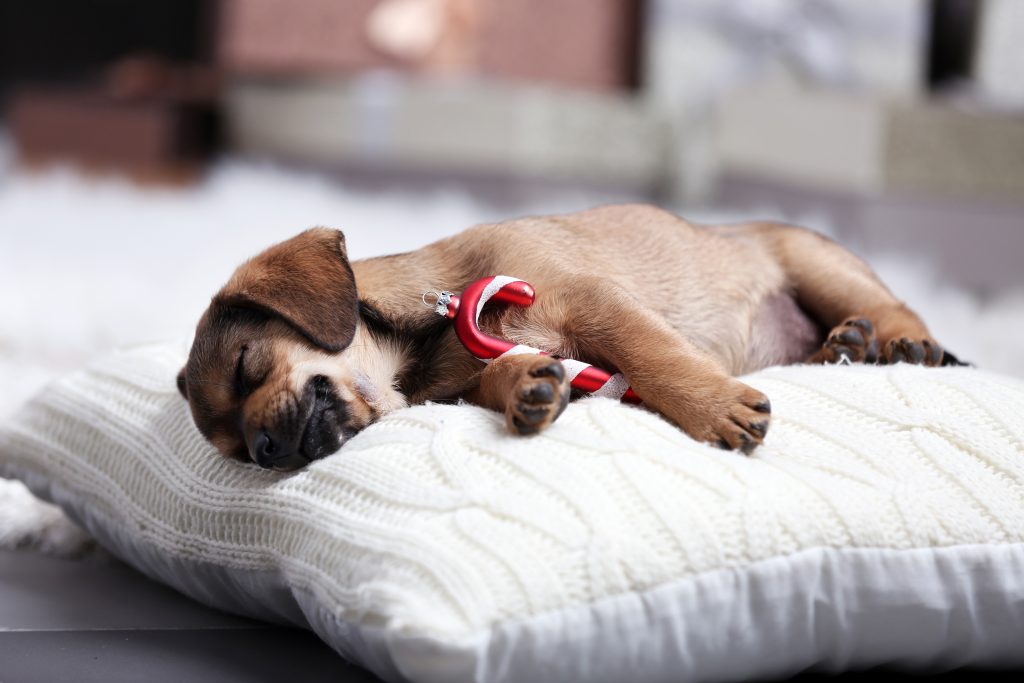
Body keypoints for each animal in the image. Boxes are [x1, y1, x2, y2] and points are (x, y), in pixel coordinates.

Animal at [176, 202, 950, 471]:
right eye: (236, 453)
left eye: (247, 366)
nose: (266, 450)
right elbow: (500, 376)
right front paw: (527, 384)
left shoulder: (597, 305)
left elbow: (655, 356)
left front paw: (710, 407)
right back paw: (843, 346)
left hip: (816, 263)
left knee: (895, 303)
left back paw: (898, 344)